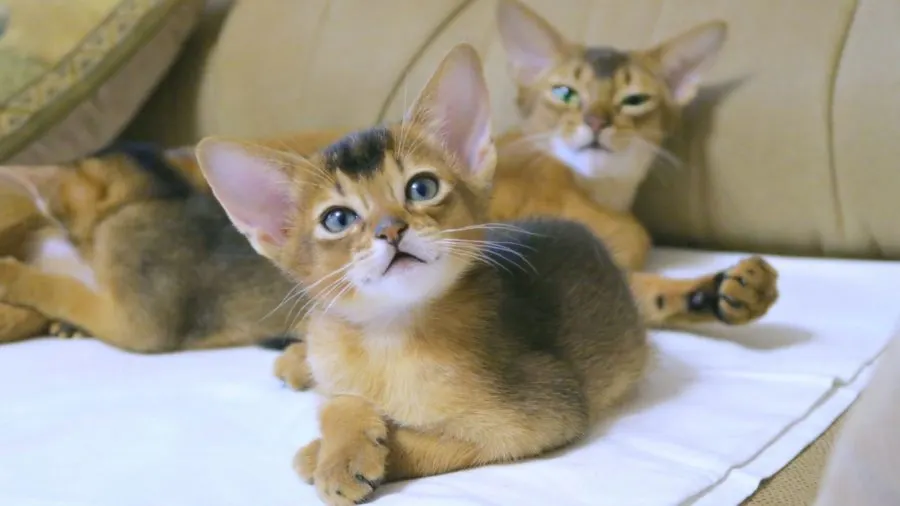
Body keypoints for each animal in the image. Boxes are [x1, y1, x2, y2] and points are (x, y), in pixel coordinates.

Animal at [197, 45, 648, 504]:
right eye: (337, 219)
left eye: (422, 188)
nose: (391, 230)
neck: (385, 337)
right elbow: (338, 401)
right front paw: (340, 445)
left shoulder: (541, 412)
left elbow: (432, 441)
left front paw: (326, 457)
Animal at [492, 0, 780, 328]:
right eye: (564, 92)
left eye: (635, 100)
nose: (596, 121)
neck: (598, 198)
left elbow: (642, 294)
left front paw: (718, 292)